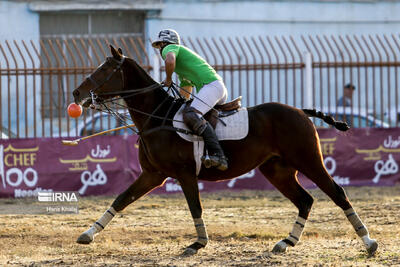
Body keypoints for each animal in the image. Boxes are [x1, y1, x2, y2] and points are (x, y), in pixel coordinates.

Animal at [72, 45, 378, 258]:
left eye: (104, 70)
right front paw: (88, 233)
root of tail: (301, 111)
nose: (76, 94)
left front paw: (198, 243)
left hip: (308, 159)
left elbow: (195, 206)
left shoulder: (184, 173)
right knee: (305, 200)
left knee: (337, 192)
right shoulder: (153, 175)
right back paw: (286, 241)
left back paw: (369, 242)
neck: (156, 118)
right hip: (277, 169)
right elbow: (121, 199)